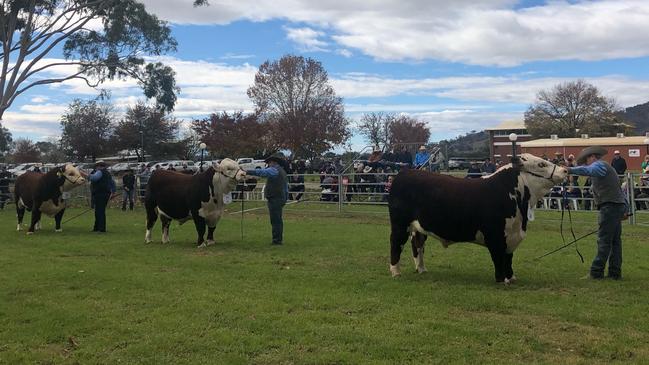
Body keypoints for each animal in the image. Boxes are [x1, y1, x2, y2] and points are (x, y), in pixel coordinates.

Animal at [390, 153, 568, 282]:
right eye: (541, 164)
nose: (565, 170)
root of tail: (406, 172)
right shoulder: (495, 236)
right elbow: (498, 258)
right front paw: (501, 279)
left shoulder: (511, 236)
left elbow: (508, 258)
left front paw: (511, 277)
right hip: (399, 225)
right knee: (396, 244)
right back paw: (396, 272)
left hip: (419, 228)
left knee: (417, 245)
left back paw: (421, 269)